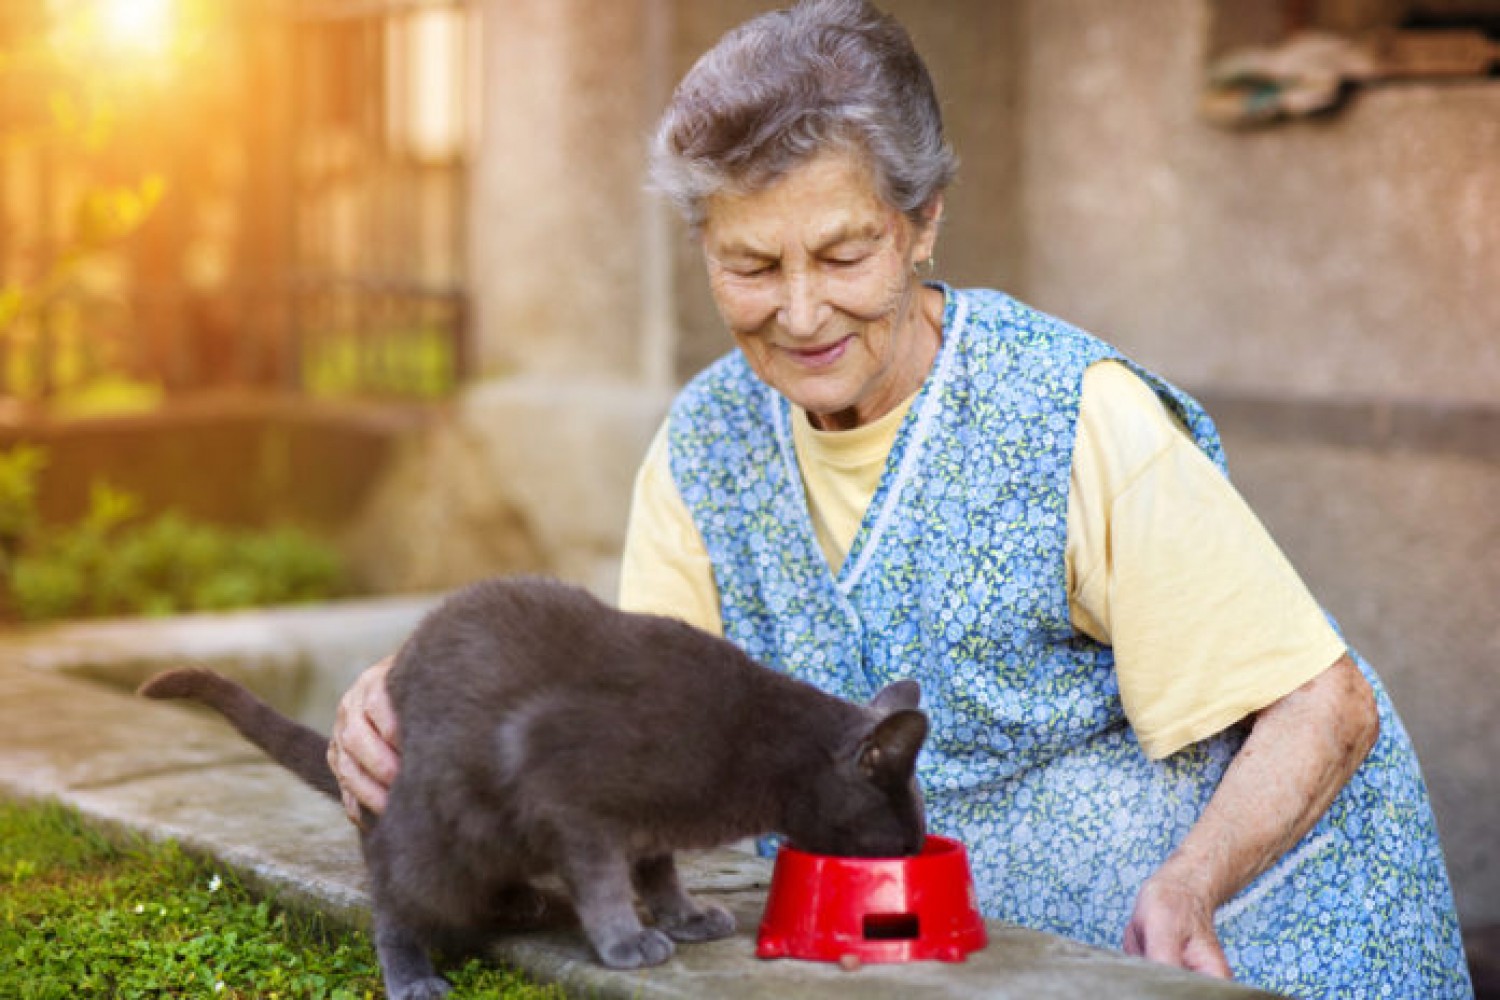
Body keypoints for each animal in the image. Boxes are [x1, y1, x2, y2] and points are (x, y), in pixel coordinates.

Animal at [138, 575, 924, 995]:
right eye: (904, 826)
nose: (917, 849)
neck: (752, 738)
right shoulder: (569, 794)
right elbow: (605, 881)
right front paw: (628, 941)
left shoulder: (647, 824)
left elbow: (658, 868)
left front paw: (684, 915)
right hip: (427, 839)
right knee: (392, 903)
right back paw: (414, 975)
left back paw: (515, 898)